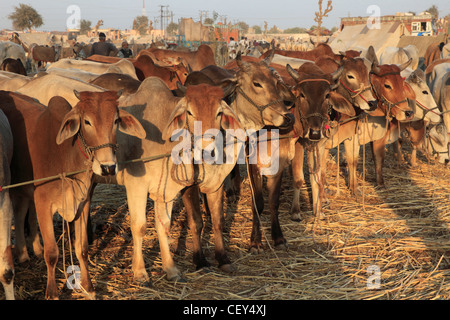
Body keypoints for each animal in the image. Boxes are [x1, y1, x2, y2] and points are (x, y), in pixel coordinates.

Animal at [0, 90, 145, 300]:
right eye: (87, 121)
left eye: (116, 120)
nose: (108, 167)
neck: (66, 157)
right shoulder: (43, 202)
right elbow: (52, 253)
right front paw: (52, 293)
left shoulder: (82, 204)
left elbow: (82, 248)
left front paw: (88, 287)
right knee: (20, 215)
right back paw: (24, 253)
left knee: (23, 213)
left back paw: (30, 251)